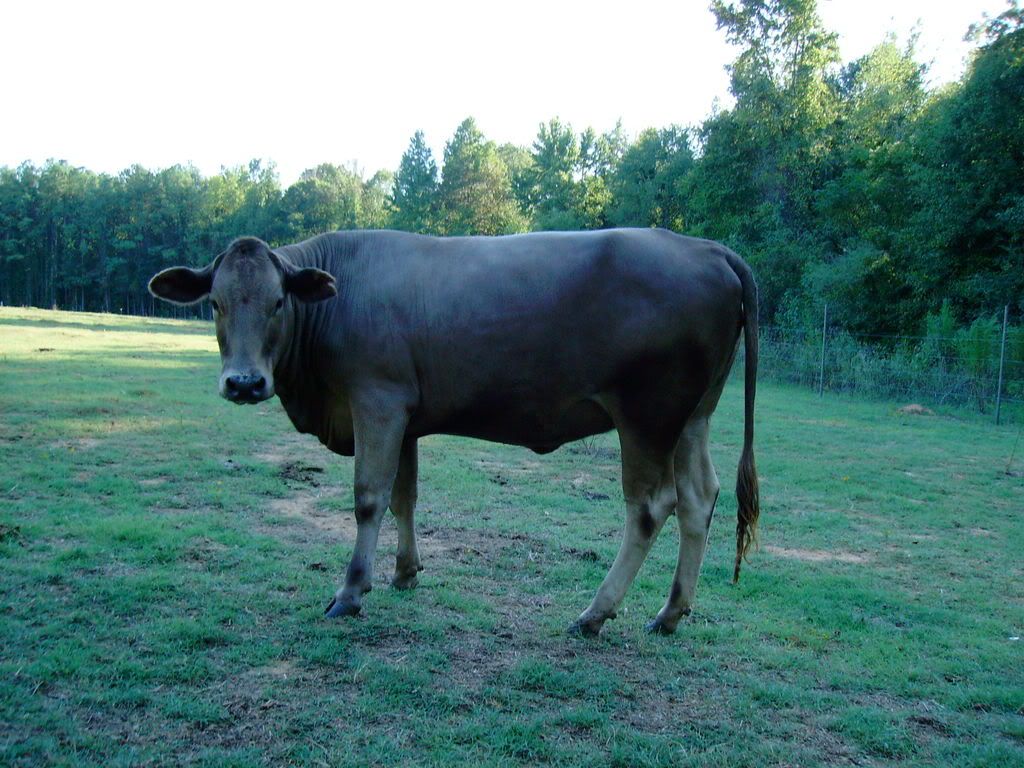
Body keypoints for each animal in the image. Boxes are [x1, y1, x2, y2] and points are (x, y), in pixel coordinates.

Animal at [151, 228, 761, 638]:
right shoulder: (406, 418)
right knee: (698, 498)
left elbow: (369, 498)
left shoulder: (377, 401)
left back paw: (595, 613)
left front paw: (350, 591)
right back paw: (671, 612)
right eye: (214, 303)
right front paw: (404, 573)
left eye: (278, 301)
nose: (244, 382)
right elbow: (404, 496)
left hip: (647, 416)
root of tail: (706, 248)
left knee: (650, 506)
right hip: (693, 418)